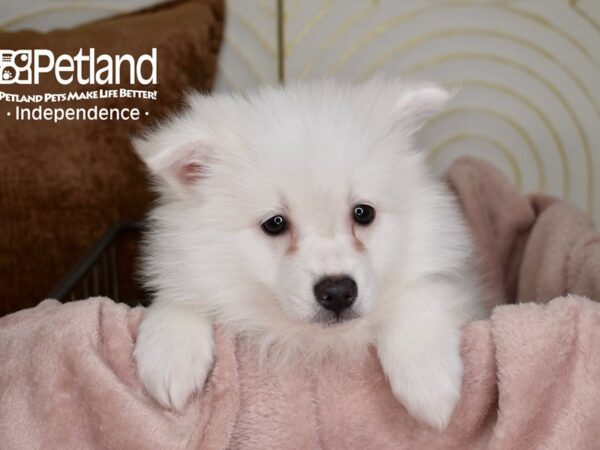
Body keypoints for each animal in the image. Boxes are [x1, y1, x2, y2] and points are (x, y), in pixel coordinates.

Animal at [132, 79, 488, 430]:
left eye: (363, 213)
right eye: (275, 223)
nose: (338, 292)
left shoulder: (454, 282)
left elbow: (421, 296)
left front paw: (429, 383)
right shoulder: (185, 261)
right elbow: (180, 295)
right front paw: (170, 355)